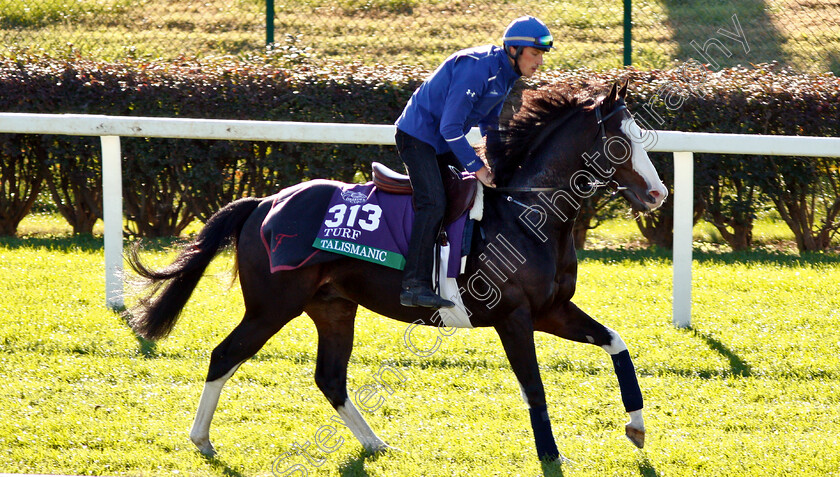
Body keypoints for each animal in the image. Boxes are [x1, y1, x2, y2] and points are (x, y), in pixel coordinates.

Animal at [124, 81, 668, 462]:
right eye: (621, 142)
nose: (659, 194)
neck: (525, 213)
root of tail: (263, 203)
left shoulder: (551, 310)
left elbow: (618, 344)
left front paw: (638, 427)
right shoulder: (514, 317)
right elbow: (534, 387)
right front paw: (552, 456)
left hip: (333, 308)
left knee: (330, 378)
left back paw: (376, 444)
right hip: (271, 306)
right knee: (224, 355)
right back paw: (201, 439)